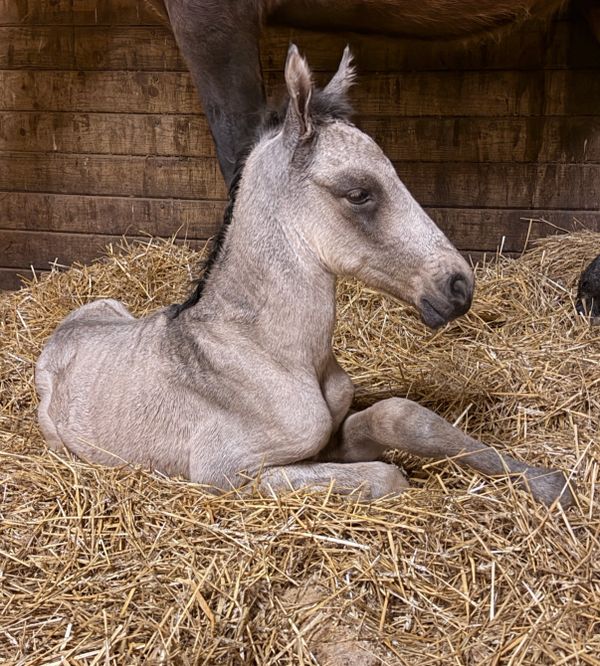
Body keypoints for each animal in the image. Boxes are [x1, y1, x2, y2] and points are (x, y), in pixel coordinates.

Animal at [36, 46, 573, 507]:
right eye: (359, 193)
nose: (458, 285)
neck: (275, 353)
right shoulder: (224, 473)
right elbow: (387, 476)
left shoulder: (333, 435)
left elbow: (400, 416)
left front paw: (551, 483)